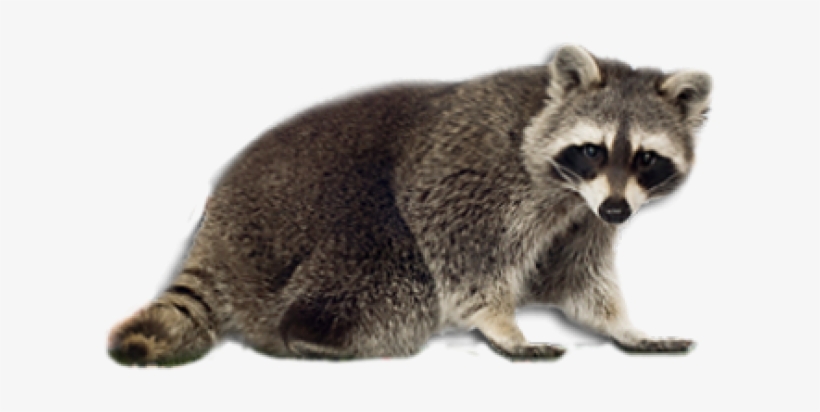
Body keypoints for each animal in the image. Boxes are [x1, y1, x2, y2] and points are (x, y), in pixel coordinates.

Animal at [109, 45, 711, 365]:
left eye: (647, 158)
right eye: (592, 149)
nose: (618, 213)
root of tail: (218, 220)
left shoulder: (582, 217)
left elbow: (580, 278)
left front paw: (623, 327)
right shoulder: (474, 174)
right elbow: (464, 256)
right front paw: (503, 325)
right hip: (307, 225)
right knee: (397, 278)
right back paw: (312, 331)